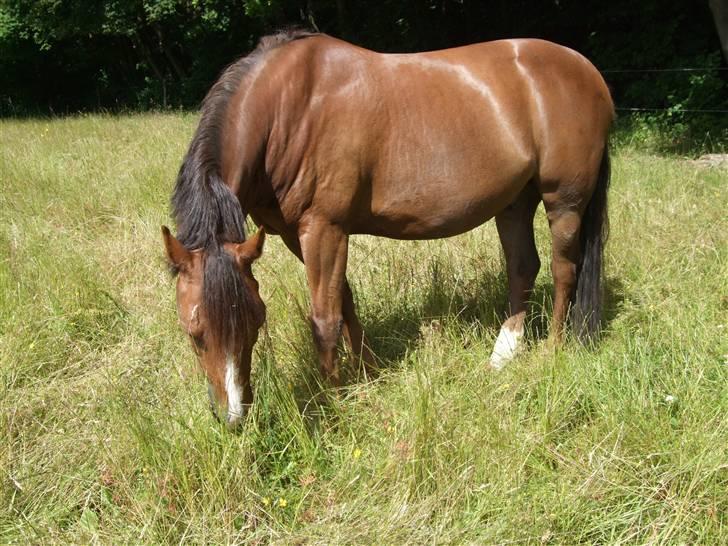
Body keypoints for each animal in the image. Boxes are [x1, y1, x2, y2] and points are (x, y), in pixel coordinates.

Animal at [162, 30, 613, 428]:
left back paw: (552, 350)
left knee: (563, 270)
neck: (288, 108)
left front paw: (332, 398)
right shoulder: (301, 235)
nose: (233, 418)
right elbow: (344, 301)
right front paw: (366, 372)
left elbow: (325, 318)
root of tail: (587, 70)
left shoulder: (324, 228)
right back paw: (504, 355)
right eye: (193, 332)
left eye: (255, 322)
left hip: (564, 202)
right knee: (523, 267)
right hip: (515, 201)